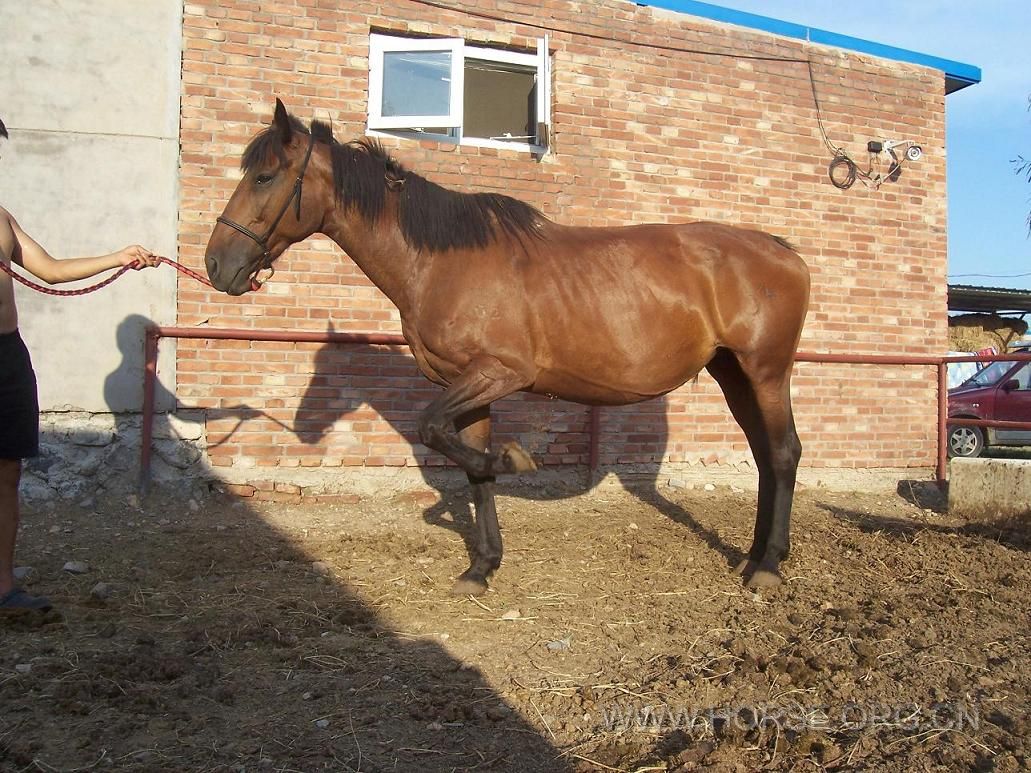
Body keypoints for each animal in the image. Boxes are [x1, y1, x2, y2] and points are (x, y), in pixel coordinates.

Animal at [205, 99, 808, 597]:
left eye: (264, 176)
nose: (216, 265)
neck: (442, 260)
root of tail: (783, 252)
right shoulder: (466, 385)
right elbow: (472, 470)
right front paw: (481, 567)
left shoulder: (498, 373)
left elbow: (438, 432)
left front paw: (515, 459)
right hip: (734, 375)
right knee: (764, 456)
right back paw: (753, 557)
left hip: (766, 373)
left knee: (782, 454)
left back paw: (767, 567)